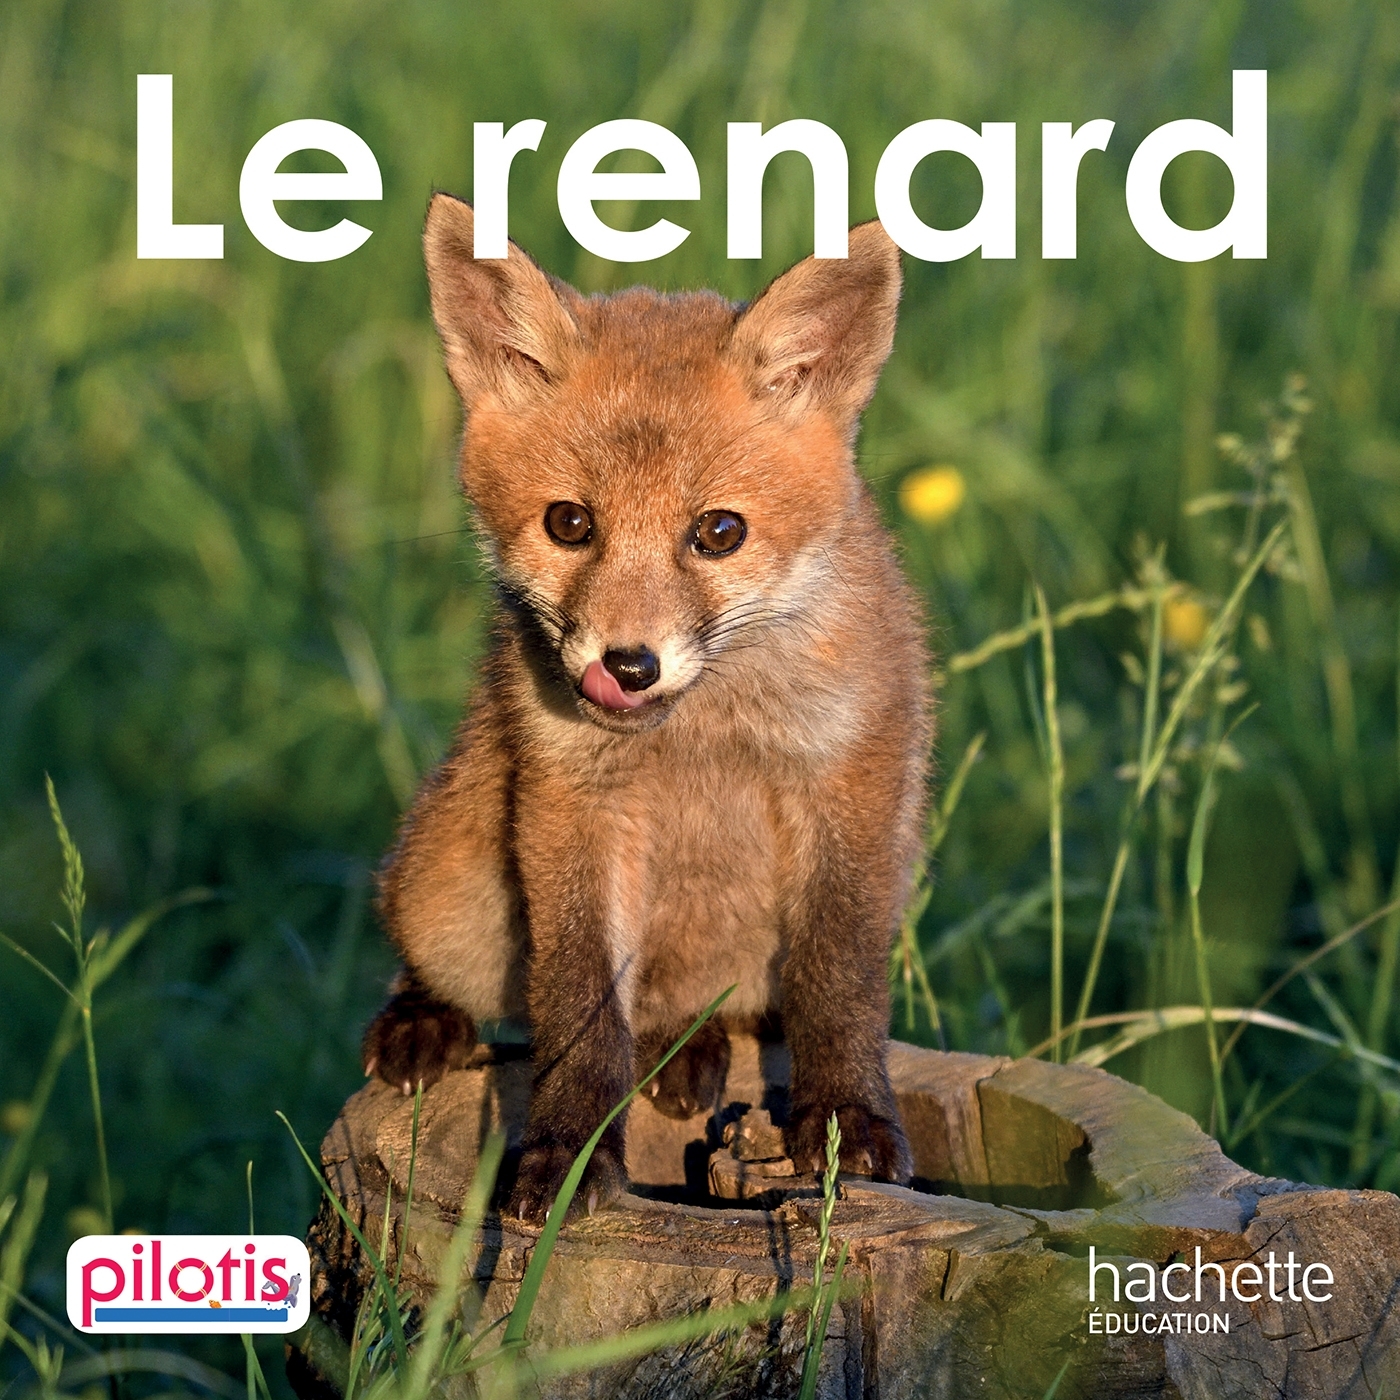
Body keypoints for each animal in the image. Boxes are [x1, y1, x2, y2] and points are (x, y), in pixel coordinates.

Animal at [360, 192, 932, 1224]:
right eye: (569, 523)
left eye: (719, 532)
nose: (626, 666)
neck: (702, 733)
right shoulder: (573, 805)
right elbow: (582, 1011)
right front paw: (568, 1154)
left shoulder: (851, 785)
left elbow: (840, 982)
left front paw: (845, 1123)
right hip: (451, 888)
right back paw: (424, 1016)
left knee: (712, 1012)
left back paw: (687, 1048)